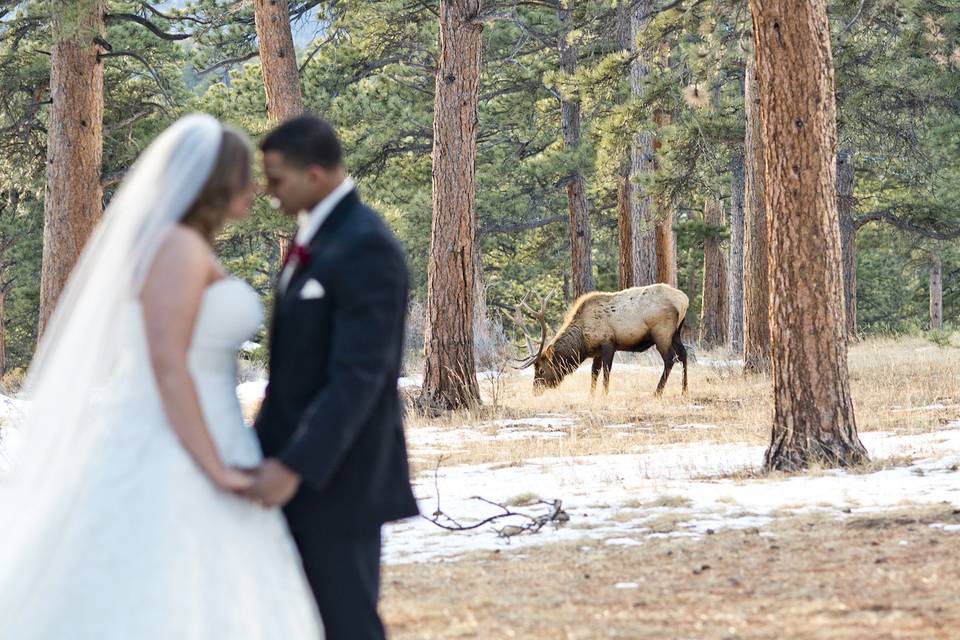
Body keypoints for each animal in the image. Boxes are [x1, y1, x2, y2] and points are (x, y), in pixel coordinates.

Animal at [510, 284, 688, 396]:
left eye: (541, 370)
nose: (535, 391)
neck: (582, 343)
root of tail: (684, 300)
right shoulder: (596, 351)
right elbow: (594, 373)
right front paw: (591, 396)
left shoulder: (608, 343)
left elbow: (606, 372)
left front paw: (604, 395)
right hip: (676, 333)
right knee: (683, 355)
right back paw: (684, 390)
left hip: (662, 333)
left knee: (670, 359)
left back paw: (657, 393)